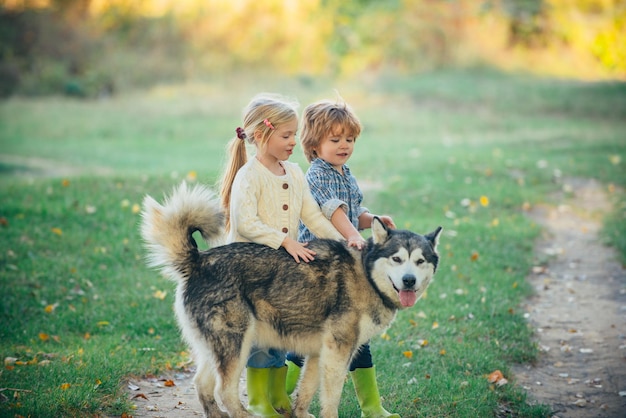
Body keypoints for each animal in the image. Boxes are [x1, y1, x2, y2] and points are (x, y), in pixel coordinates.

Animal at [139, 183, 442, 418]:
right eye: (397, 259)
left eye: (420, 261)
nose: (409, 281)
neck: (366, 275)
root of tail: (199, 261)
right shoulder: (338, 351)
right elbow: (331, 397)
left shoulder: (320, 352)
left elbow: (307, 390)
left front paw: (301, 412)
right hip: (237, 344)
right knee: (223, 390)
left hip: (213, 347)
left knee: (202, 385)